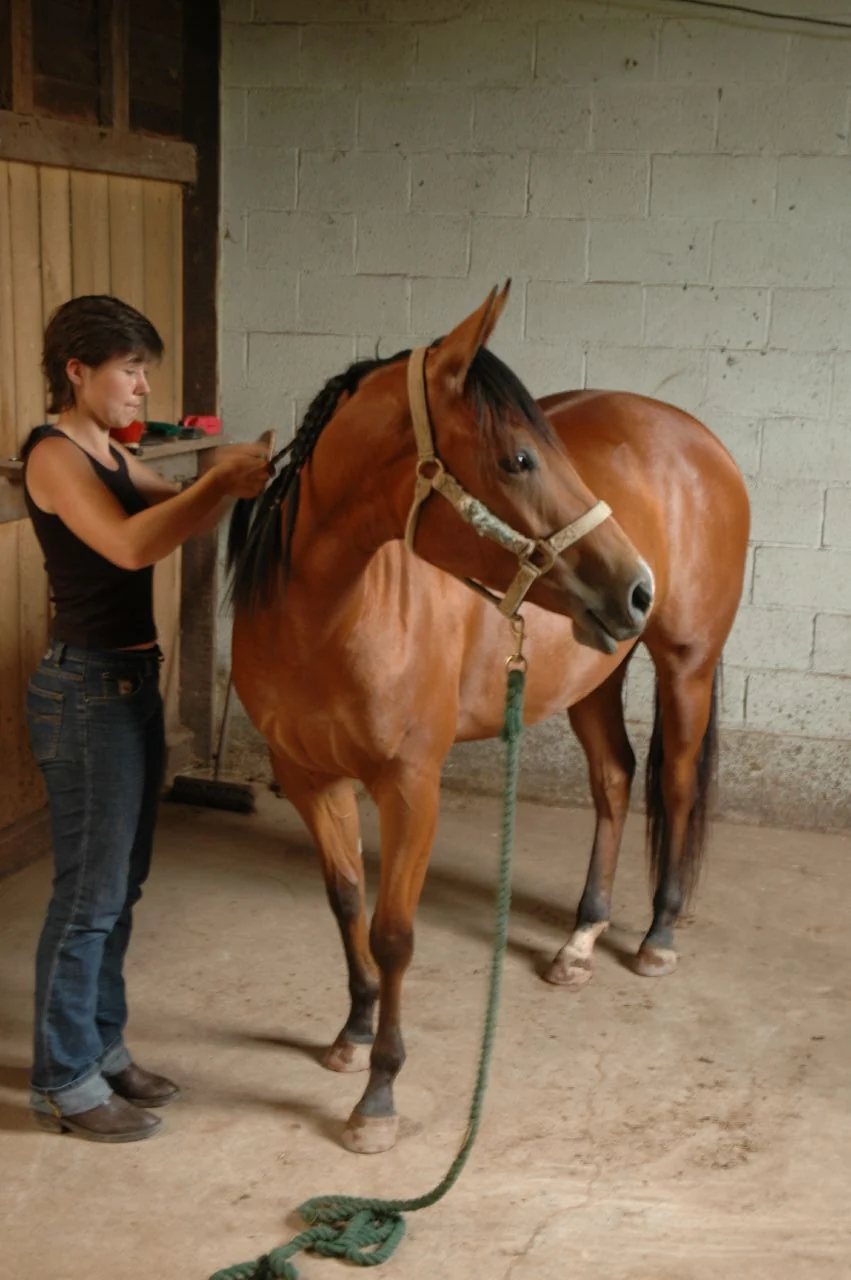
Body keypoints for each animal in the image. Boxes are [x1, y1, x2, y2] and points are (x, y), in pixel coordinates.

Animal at [228, 284, 750, 1154]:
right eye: (519, 459)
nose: (637, 585)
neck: (331, 615)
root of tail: (703, 441)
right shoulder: (306, 776)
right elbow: (346, 902)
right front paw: (352, 1032)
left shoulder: (410, 786)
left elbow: (394, 932)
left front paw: (379, 1095)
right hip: (593, 672)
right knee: (614, 782)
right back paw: (580, 941)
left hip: (685, 664)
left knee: (673, 787)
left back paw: (656, 938)